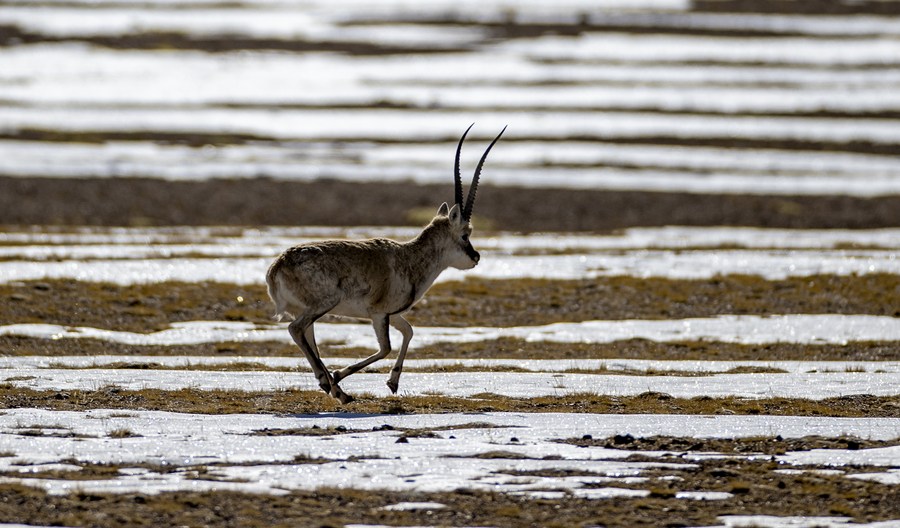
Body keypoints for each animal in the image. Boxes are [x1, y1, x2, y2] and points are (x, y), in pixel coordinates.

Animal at [268, 125, 506, 404]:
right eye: (466, 234)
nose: (475, 257)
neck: (410, 257)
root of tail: (278, 266)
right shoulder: (379, 313)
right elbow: (386, 348)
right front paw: (340, 374)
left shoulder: (392, 315)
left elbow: (409, 331)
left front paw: (393, 382)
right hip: (323, 304)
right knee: (296, 329)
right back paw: (335, 386)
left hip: (306, 309)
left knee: (306, 334)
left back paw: (334, 389)